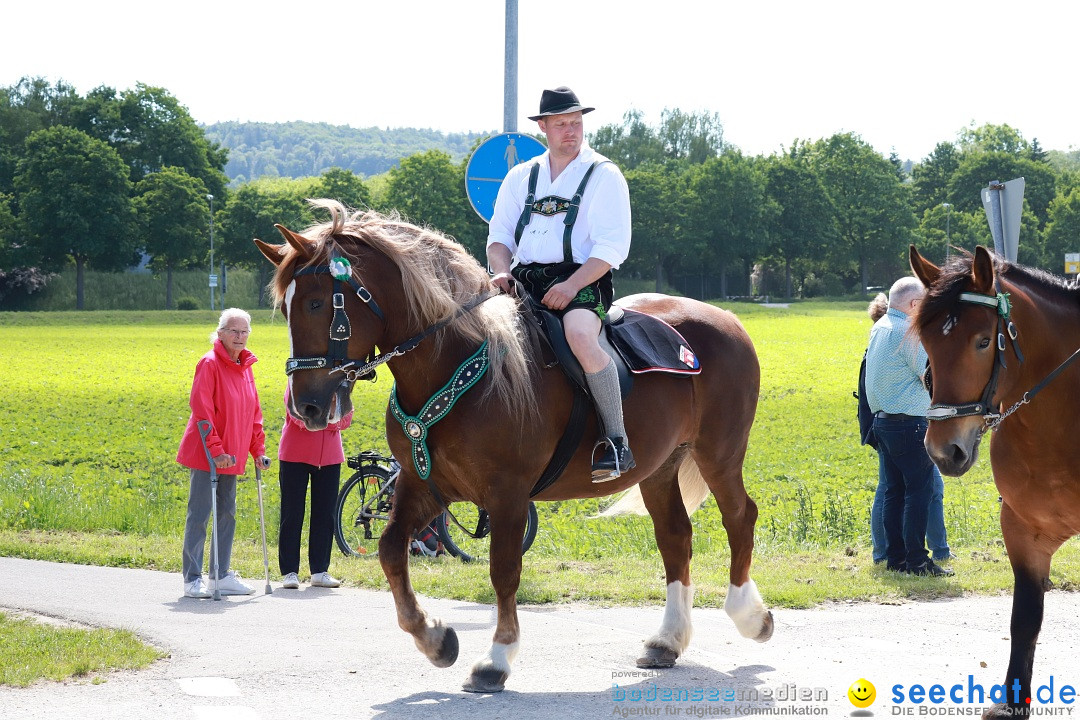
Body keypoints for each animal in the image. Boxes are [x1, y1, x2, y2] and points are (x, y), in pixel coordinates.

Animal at [257, 201, 773, 690]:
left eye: (317, 304)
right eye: (287, 308)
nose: (306, 406)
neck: (456, 364)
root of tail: (726, 318)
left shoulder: (507, 495)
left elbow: (503, 570)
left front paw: (496, 660)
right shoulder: (426, 486)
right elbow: (389, 549)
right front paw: (434, 639)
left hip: (719, 454)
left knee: (739, 516)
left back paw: (749, 615)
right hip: (660, 468)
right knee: (675, 537)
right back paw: (668, 640)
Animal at [911, 246, 1080, 716]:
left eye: (984, 341)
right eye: (926, 342)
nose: (943, 450)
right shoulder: (1024, 529)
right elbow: (1024, 620)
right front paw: (1012, 702)